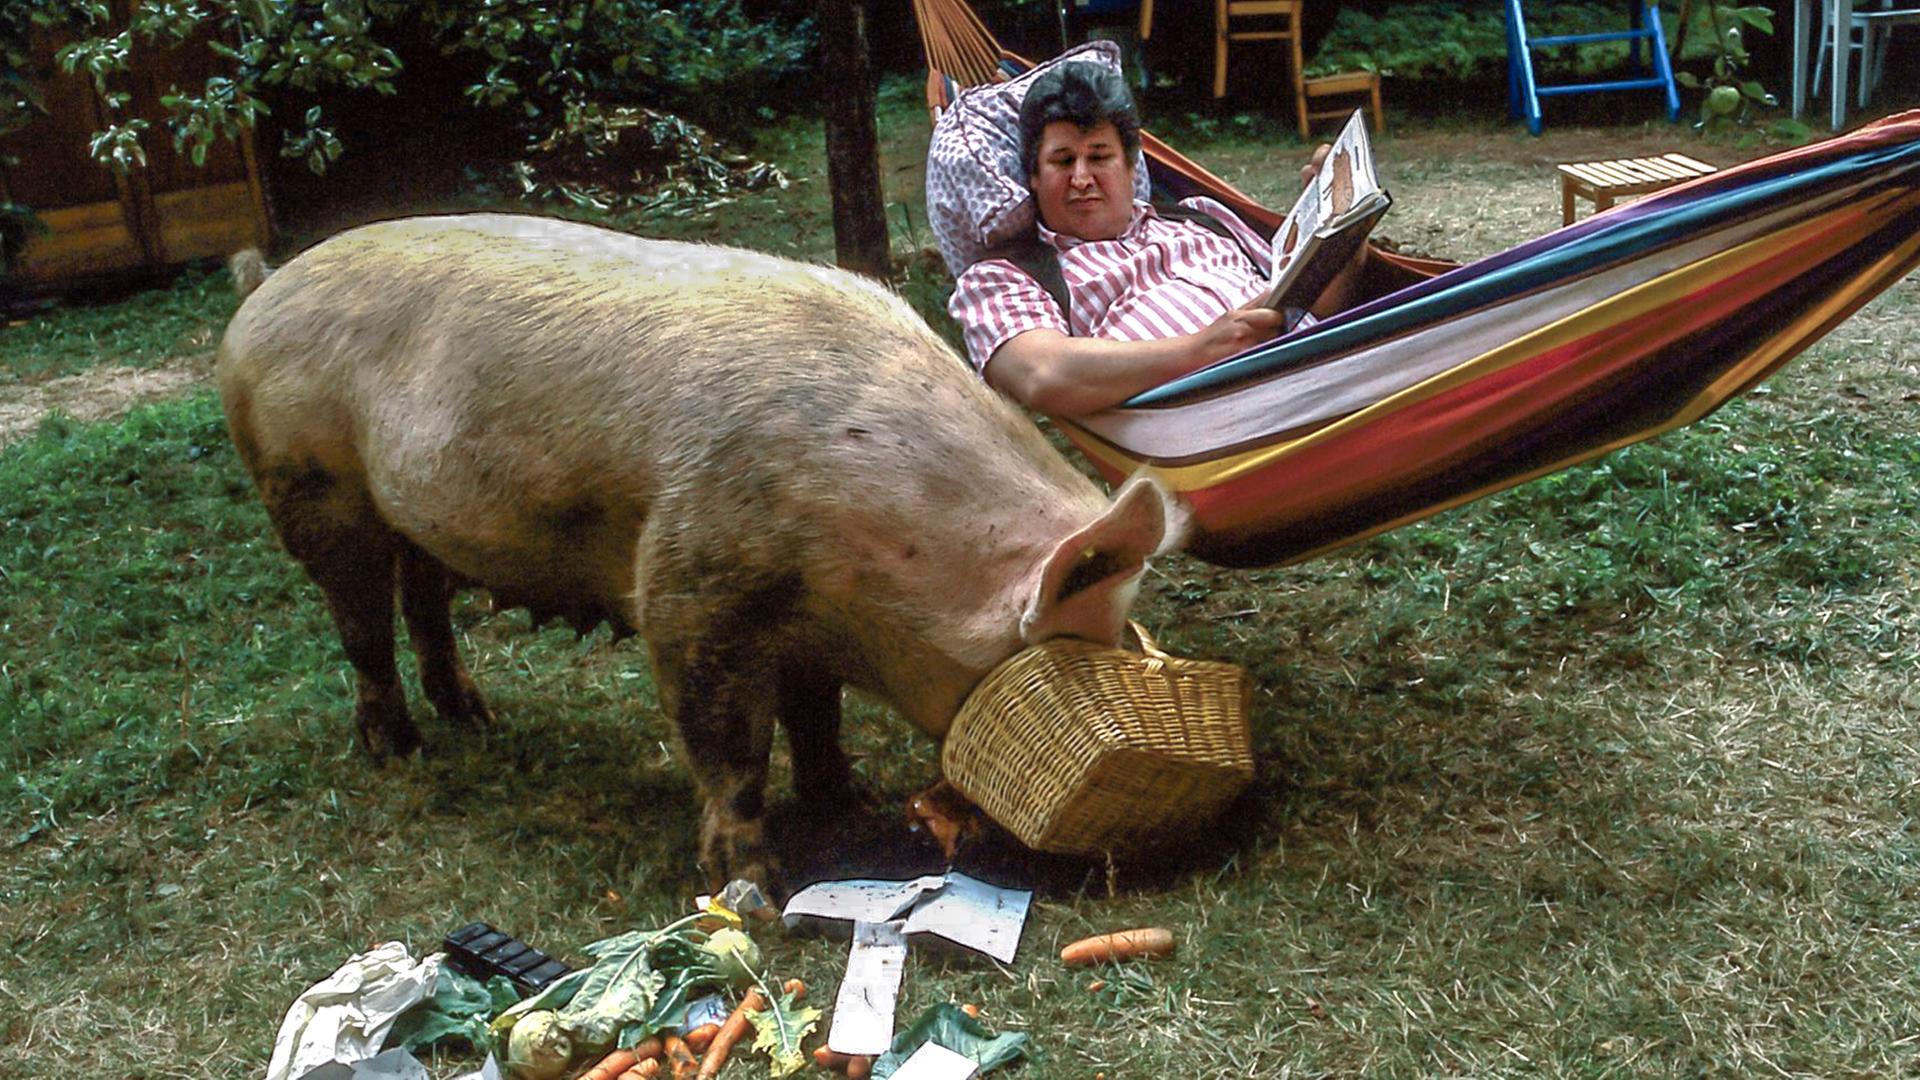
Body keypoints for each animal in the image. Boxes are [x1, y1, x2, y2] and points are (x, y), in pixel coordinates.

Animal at [216, 213, 1185, 890]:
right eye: (1072, 646)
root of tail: (264, 288)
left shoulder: (808, 622)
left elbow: (816, 717)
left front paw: (849, 800)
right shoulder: (692, 589)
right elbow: (729, 743)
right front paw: (755, 887)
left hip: (410, 513)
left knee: (422, 601)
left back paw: (474, 717)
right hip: (309, 484)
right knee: (360, 624)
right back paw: (400, 749)